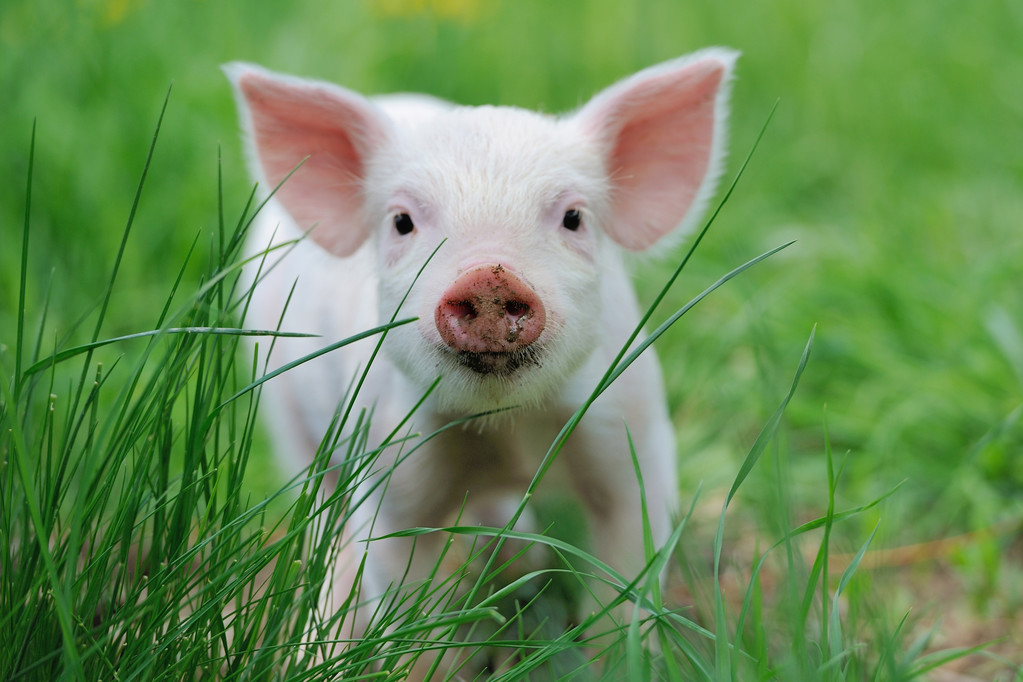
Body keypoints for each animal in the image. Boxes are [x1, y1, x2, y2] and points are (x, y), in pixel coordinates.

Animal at [225, 49, 736, 662]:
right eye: (401, 221)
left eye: (574, 218)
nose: (489, 277)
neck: (504, 427)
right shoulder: (388, 462)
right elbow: (403, 591)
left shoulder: (634, 436)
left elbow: (626, 572)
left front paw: (620, 660)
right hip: (284, 407)